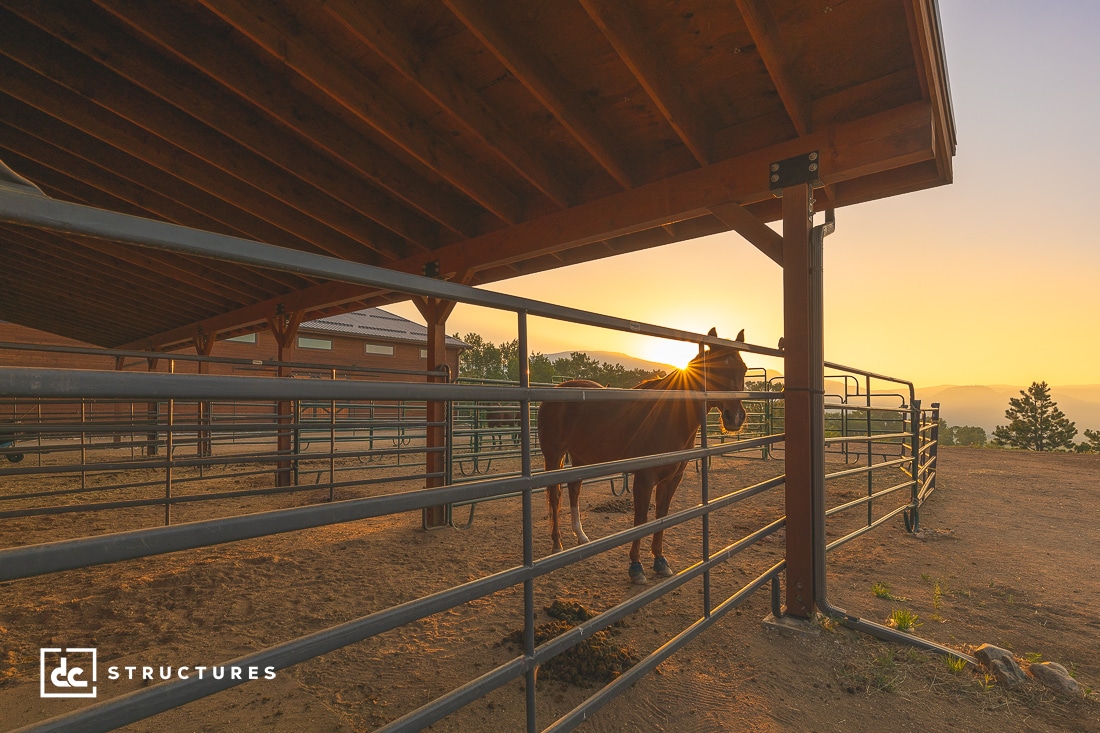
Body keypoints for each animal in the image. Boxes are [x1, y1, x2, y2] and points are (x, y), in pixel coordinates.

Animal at [539, 327, 752, 581]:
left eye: (743, 369)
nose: (735, 417)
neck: (669, 415)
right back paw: (556, 544)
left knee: (574, 489)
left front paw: (660, 561)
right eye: (715, 368)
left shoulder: (672, 478)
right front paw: (636, 567)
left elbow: (661, 516)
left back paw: (581, 537)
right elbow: (641, 520)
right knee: (554, 495)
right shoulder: (645, 477)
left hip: (580, 456)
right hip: (553, 455)